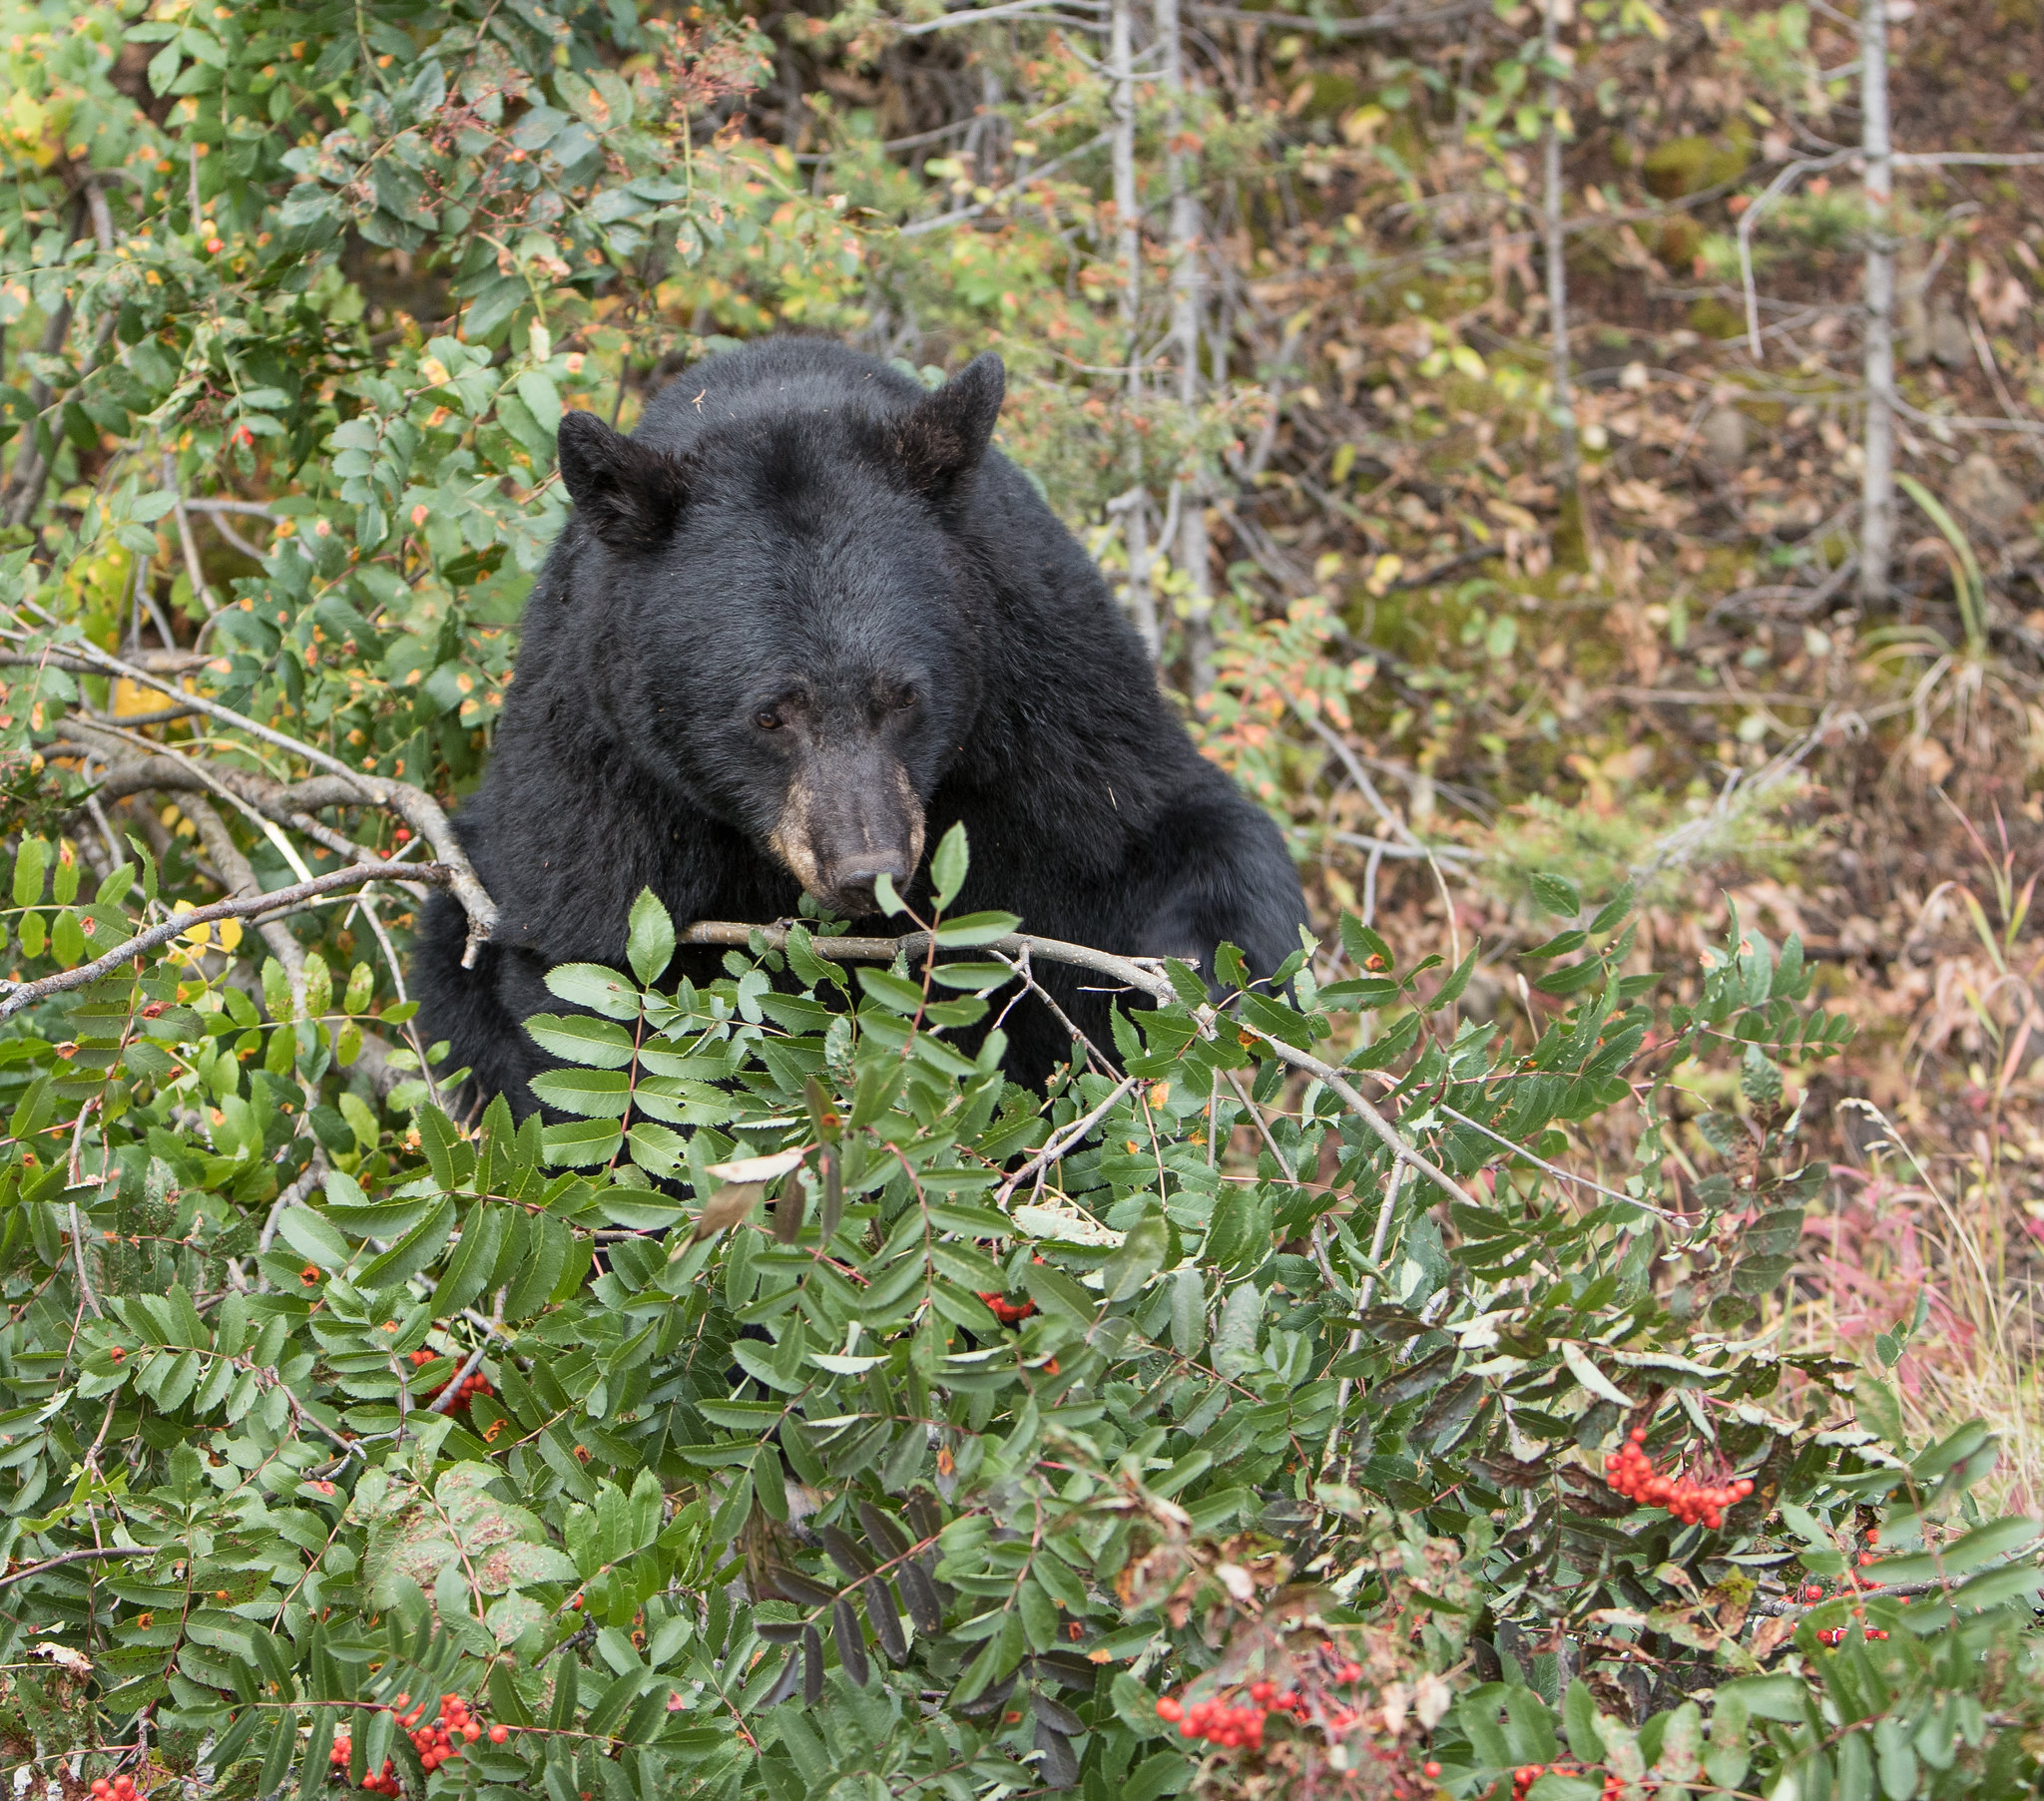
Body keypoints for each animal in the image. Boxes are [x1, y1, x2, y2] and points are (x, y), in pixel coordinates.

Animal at [414, 330, 1307, 1104]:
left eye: (904, 695)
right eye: (770, 715)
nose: (865, 867)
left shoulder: (1046, 679)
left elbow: (1155, 825)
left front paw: (1198, 973)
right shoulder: (601, 763)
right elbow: (590, 971)